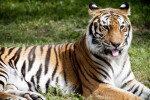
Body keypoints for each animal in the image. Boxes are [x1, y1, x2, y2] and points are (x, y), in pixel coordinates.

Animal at [0, 1, 150, 100]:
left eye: (122, 27)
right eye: (105, 27)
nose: (116, 44)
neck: (117, 59)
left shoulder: (129, 82)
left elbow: (146, 91)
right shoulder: (98, 86)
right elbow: (130, 97)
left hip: (12, 83)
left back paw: (31, 95)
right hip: (2, 70)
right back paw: (19, 98)